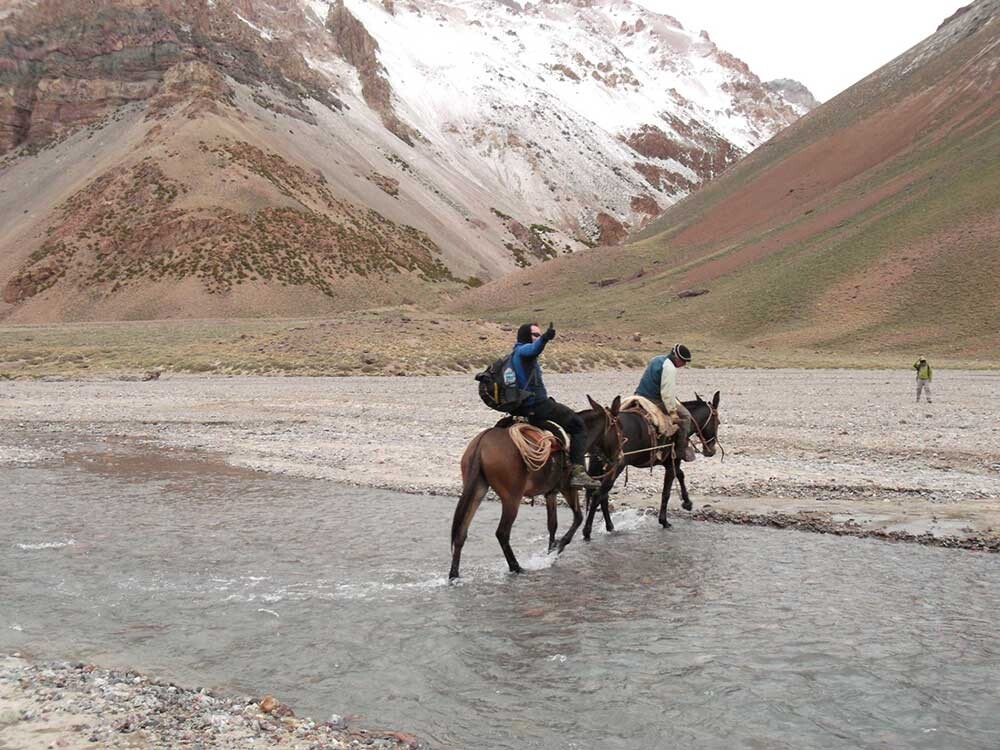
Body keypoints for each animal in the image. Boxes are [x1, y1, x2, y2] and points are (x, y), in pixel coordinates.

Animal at [450, 400, 620, 580]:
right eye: (618, 428)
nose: (618, 456)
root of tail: (481, 443)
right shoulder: (567, 487)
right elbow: (578, 518)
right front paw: (556, 549)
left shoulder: (551, 493)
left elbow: (552, 524)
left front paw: (551, 550)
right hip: (511, 498)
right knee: (502, 533)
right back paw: (516, 567)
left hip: (477, 489)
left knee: (461, 532)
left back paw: (454, 575)